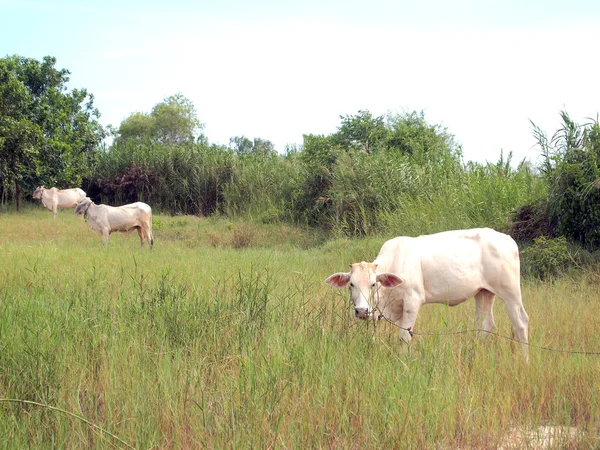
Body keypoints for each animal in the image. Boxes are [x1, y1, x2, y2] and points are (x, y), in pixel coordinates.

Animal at [328, 227, 528, 360]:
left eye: (373, 284)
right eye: (351, 284)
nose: (362, 311)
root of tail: (507, 239)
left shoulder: (412, 301)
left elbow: (404, 336)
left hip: (510, 291)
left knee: (520, 323)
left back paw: (524, 361)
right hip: (484, 293)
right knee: (484, 325)